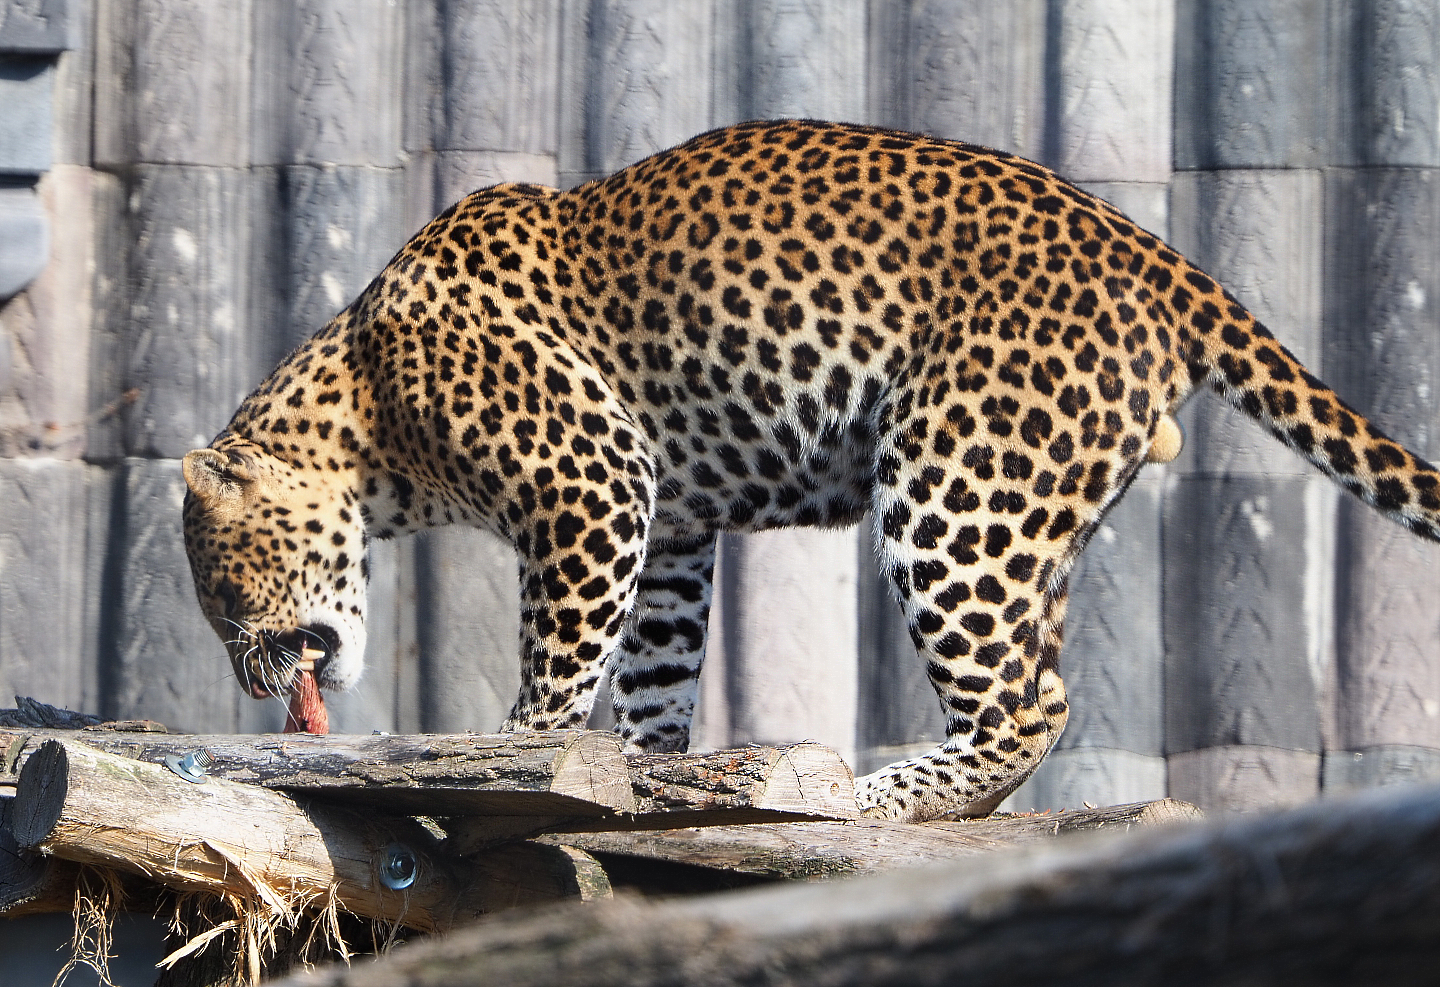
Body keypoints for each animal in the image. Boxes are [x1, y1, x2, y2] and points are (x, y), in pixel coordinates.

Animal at [181, 119, 1440, 822]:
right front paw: (650, 773)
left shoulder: (589, 485)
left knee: (1027, 701)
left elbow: (557, 666)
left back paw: (875, 795)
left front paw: (522, 754)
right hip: (1035, 513)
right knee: (1039, 684)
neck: (370, 411)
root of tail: (1144, 243)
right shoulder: (670, 529)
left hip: (956, 482)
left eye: (225, 596)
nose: (245, 679)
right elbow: (653, 674)